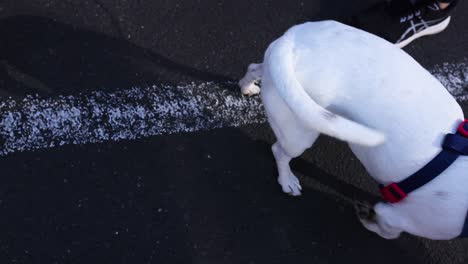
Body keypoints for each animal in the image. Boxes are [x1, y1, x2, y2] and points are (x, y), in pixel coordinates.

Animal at [239, 20, 468, 239]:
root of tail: (291, 41)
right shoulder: (400, 217)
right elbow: (387, 232)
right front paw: (367, 216)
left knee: (253, 68)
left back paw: (247, 86)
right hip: (299, 135)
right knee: (279, 152)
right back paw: (287, 180)